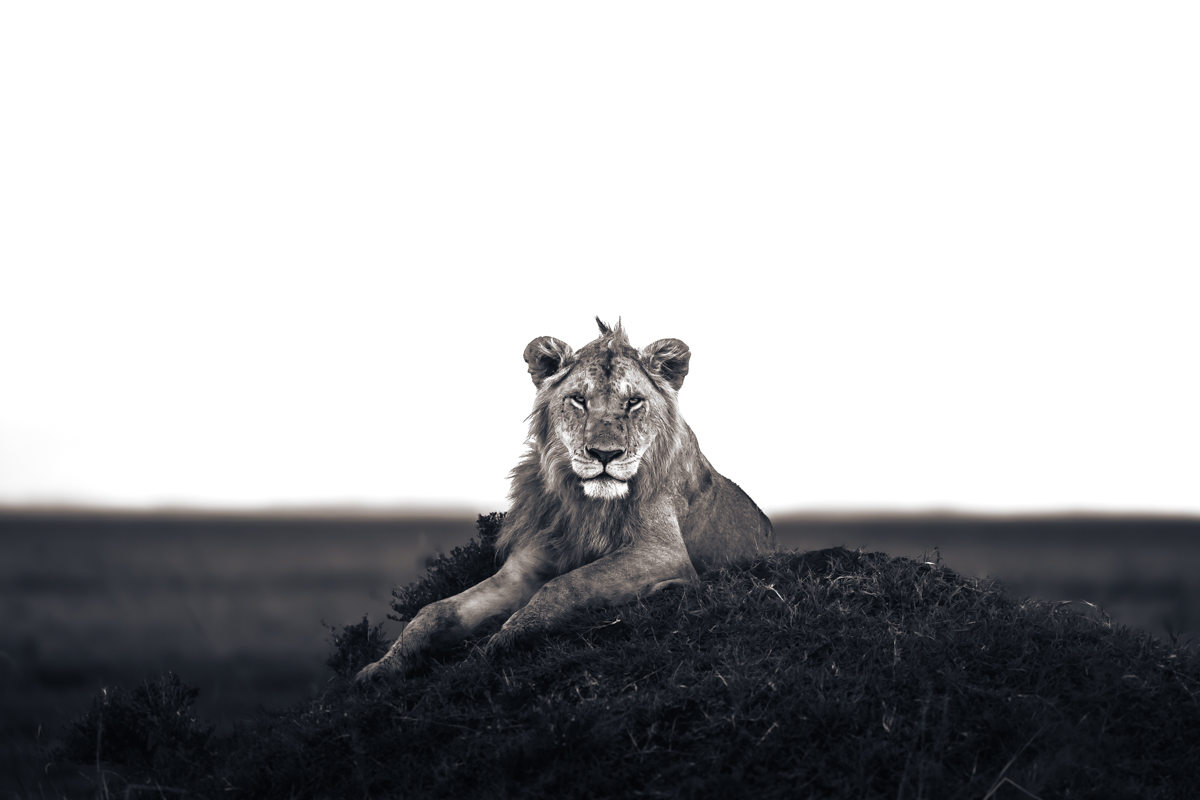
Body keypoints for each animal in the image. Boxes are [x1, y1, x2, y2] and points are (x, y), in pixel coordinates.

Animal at [356, 318, 775, 682]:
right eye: (578, 400)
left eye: (634, 402)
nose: (604, 454)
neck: (584, 504)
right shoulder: (523, 568)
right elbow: (434, 611)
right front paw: (381, 667)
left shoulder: (663, 551)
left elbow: (568, 584)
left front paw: (504, 639)